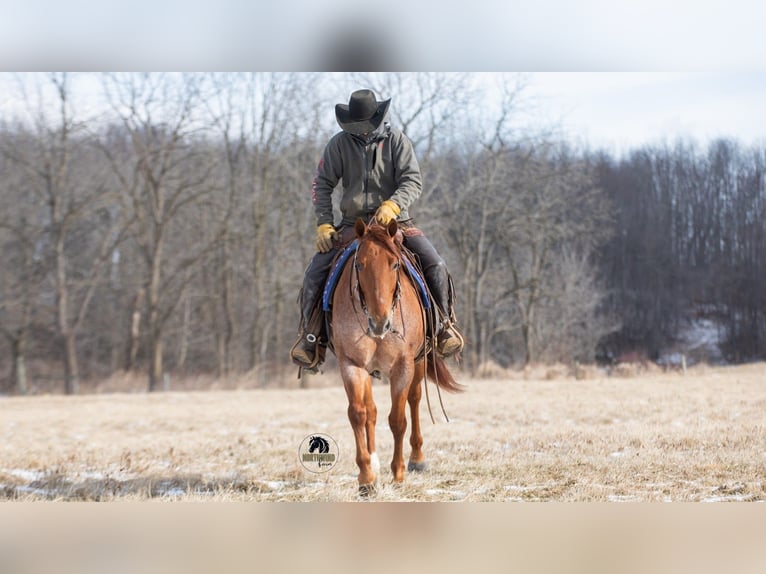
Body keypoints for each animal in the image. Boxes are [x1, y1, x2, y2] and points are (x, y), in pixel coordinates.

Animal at [331, 218, 463, 495]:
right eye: (359, 264)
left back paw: (417, 459)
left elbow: (398, 419)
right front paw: (367, 477)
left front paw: (399, 473)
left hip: (419, 362)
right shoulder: (351, 364)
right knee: (370, 410)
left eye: (394, 264)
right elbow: (358, 413)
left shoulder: (403, 367)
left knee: (414, 400)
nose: (379, 322)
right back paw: (374, 463)